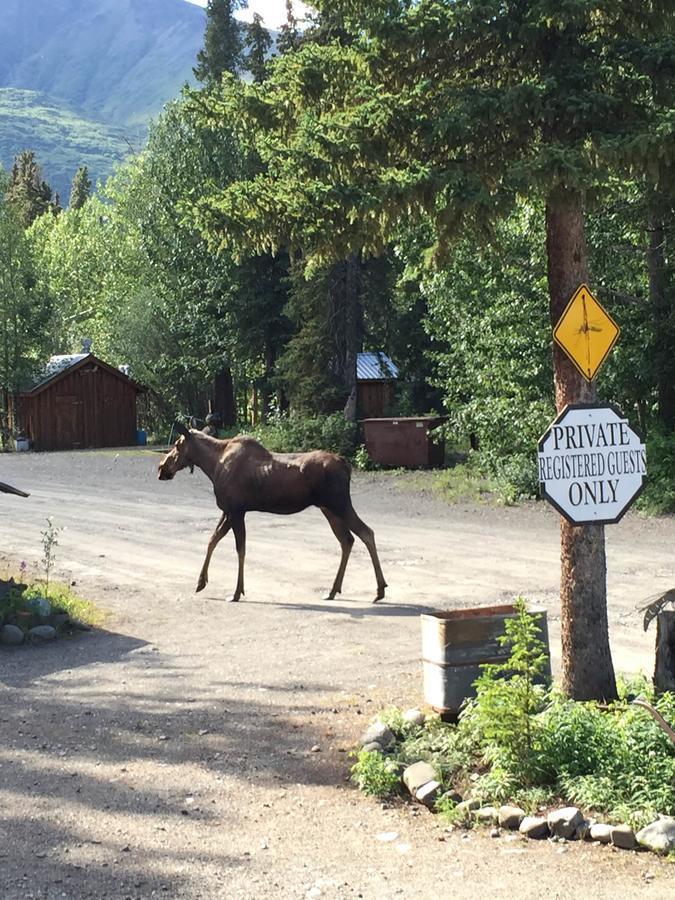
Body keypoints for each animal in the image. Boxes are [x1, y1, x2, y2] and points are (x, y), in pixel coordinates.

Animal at [158, 424, 388, 604]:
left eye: (177, 445)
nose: (161, 468)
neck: (212, 466)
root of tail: (346, 465)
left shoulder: (236, 510)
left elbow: (240, 549)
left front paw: (236, 592)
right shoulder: (229, 510)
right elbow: (212, 540)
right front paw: (201, 582)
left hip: (339, 504)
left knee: (366, 533)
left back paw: (379, 589)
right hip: (328, 508)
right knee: (347, 540)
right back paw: (333, 590)